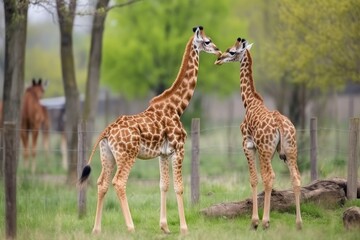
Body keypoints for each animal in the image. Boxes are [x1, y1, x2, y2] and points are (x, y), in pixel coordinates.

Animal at [215, 38, 302, 231]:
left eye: (232, 52)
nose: (219, 59)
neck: (249, 101)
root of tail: (280, 123)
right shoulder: (268, 151)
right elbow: (259, 178)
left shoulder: (248, 145)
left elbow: (254, 179)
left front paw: (254, 221)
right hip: (289, 151)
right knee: (296, 178)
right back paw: (299, 223)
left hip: (266, 150)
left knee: (270, 178)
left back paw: (265, 222)